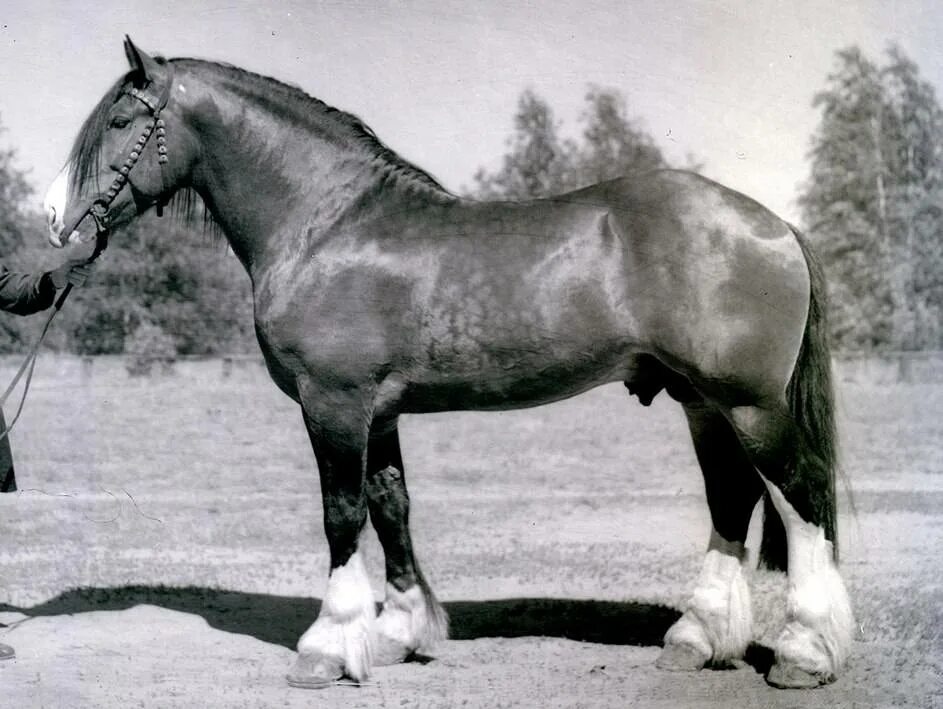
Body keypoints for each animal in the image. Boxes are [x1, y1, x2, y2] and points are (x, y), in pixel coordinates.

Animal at [42, 37, 856, 684]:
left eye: (122, 122)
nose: (54, 218)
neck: (325, 223)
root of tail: (773, 224)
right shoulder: (378, 410)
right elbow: (390, 507)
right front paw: (399, 631)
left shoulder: (333, 402)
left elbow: (341, 515)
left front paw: (328, 646)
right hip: (701, 403)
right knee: (732, 499)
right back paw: (694, 638)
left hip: (749, 405)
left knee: (801, 501)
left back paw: (803, 652)